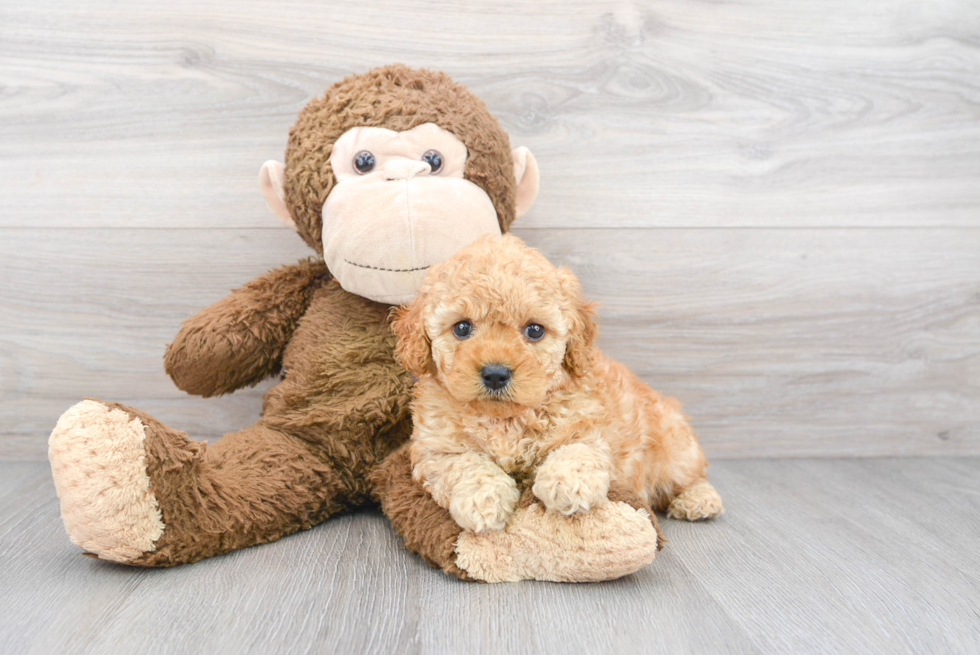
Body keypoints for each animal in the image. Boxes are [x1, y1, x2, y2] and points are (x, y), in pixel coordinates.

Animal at [390, 236, 720, 532]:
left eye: (535, 330)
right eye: (461, 327)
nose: (495, 374)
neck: (507, 420)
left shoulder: (590, 426)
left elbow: (577, 450)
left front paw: (568, 483)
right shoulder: (434, 448)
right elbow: (465, 464)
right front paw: (483, 502)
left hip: (674, 448)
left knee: (692, 475)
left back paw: (699, 500)